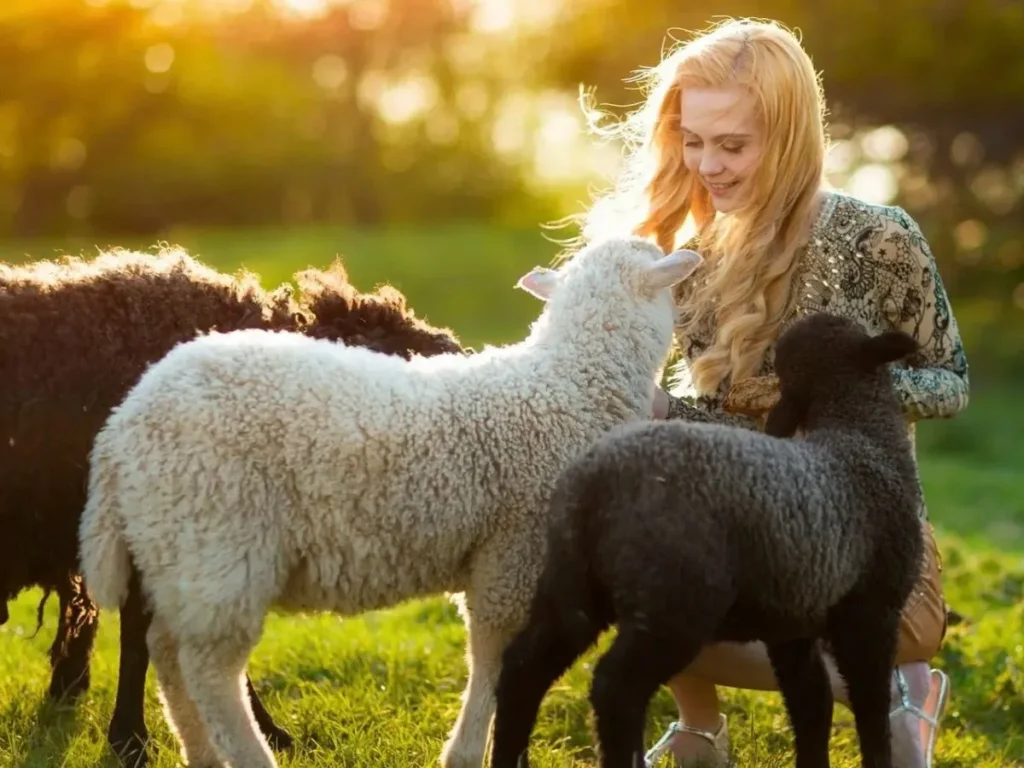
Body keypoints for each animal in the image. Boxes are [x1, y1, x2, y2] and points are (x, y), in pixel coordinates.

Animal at [75, 236, 703, 768]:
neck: (571, 384)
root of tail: (121, 429)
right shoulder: (511, 553)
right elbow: (494, 657)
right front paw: (468, 753)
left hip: (177, 550)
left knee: (166, 652)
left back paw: (200, 753)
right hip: (219, 541)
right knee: (208, 670)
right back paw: (249, 756)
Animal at [488, 312, 926, 768]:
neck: (862, 436)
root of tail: (595, 481)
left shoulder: (793, 622)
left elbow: (812, 705)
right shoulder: (873, 611)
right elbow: (870, 708)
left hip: (571, 584)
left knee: (522, 668)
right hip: (675, 602)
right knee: (614, 687)